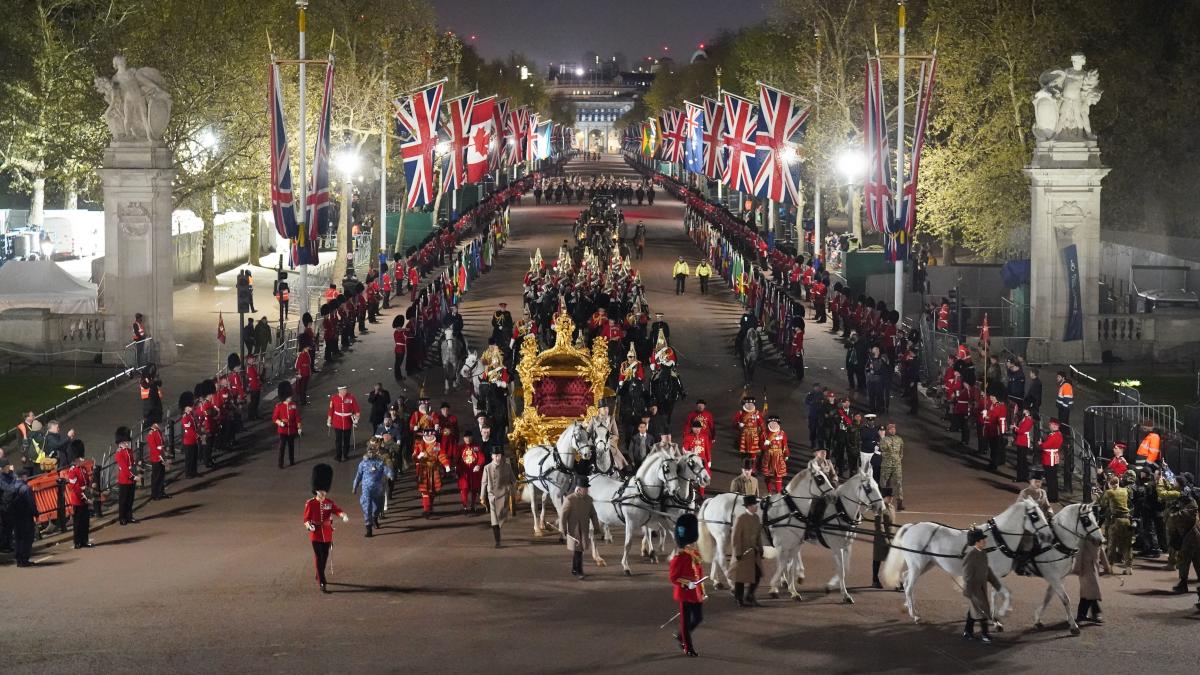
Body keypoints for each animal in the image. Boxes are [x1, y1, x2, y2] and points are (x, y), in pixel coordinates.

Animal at [878, 497, 1056, 624]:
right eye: (1034, 515)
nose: (1049, 536)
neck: (997, 539)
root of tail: (912, 526)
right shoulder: (991, 574)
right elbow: (1005, 593)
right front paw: (1001, 613)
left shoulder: (993, 575)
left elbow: (994, 594)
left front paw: (993, 617)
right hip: (918, 564)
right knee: (909, 585)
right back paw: (914, 615)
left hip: (927, 564)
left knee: (906, 578)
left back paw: (910, 607)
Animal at [1027, 502, 1108, 634]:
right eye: (1086, 520)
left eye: (1096, 517)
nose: (1101, 540)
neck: (1055, 543)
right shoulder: (1053, 576)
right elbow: (1065, 599)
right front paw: (1074, 626)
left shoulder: (1059, 577)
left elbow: (1048, 597)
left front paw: (1038, 619)